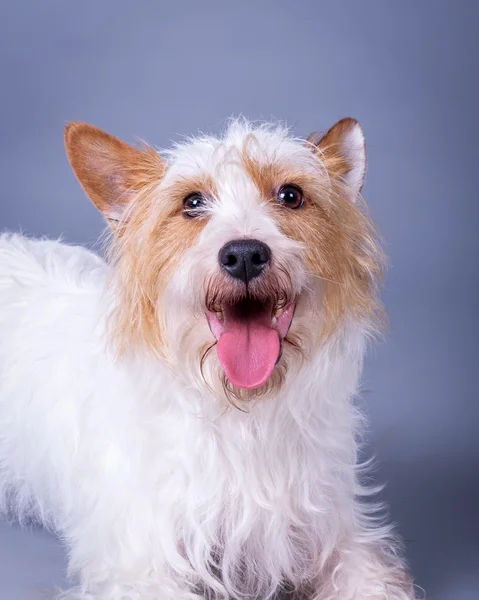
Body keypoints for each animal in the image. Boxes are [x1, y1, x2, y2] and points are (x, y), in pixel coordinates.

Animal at [0, 118, 416, 600]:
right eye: (192, 203)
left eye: (291, 195)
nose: (245, 254)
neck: (241, 410)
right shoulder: (142, 569)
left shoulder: (340, 539)